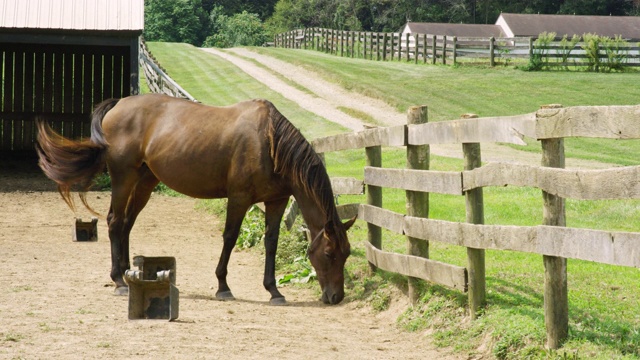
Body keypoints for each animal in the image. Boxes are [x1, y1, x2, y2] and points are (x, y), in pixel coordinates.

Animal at [36, 93, 356, 304]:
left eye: (347, 254)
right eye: (329, 253)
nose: (335, 296)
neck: (269, 142)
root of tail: (119, 104)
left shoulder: (276, 201)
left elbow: (271, 243)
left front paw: (273, 290)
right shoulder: (239, 198)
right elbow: (230, 237)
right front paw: (223, 286)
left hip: (145, 183)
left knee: (126, 224)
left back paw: (128, 274)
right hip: (124, 179)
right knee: (115, 222)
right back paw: (118, 280)